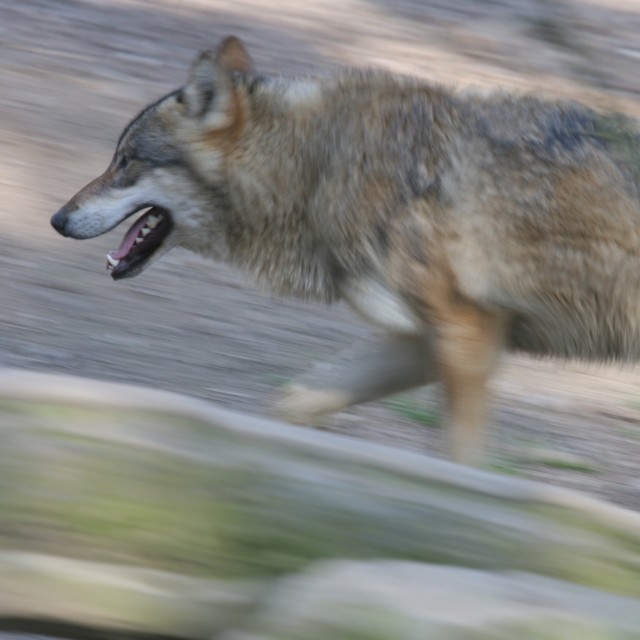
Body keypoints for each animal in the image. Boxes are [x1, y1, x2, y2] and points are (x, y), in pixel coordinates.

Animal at [51, 36, 640, 464]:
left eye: (125, 161)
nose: (56, 219)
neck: (317, 169)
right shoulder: (423, 342)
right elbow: (291, 403)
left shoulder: (467, 338)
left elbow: (459, 460)